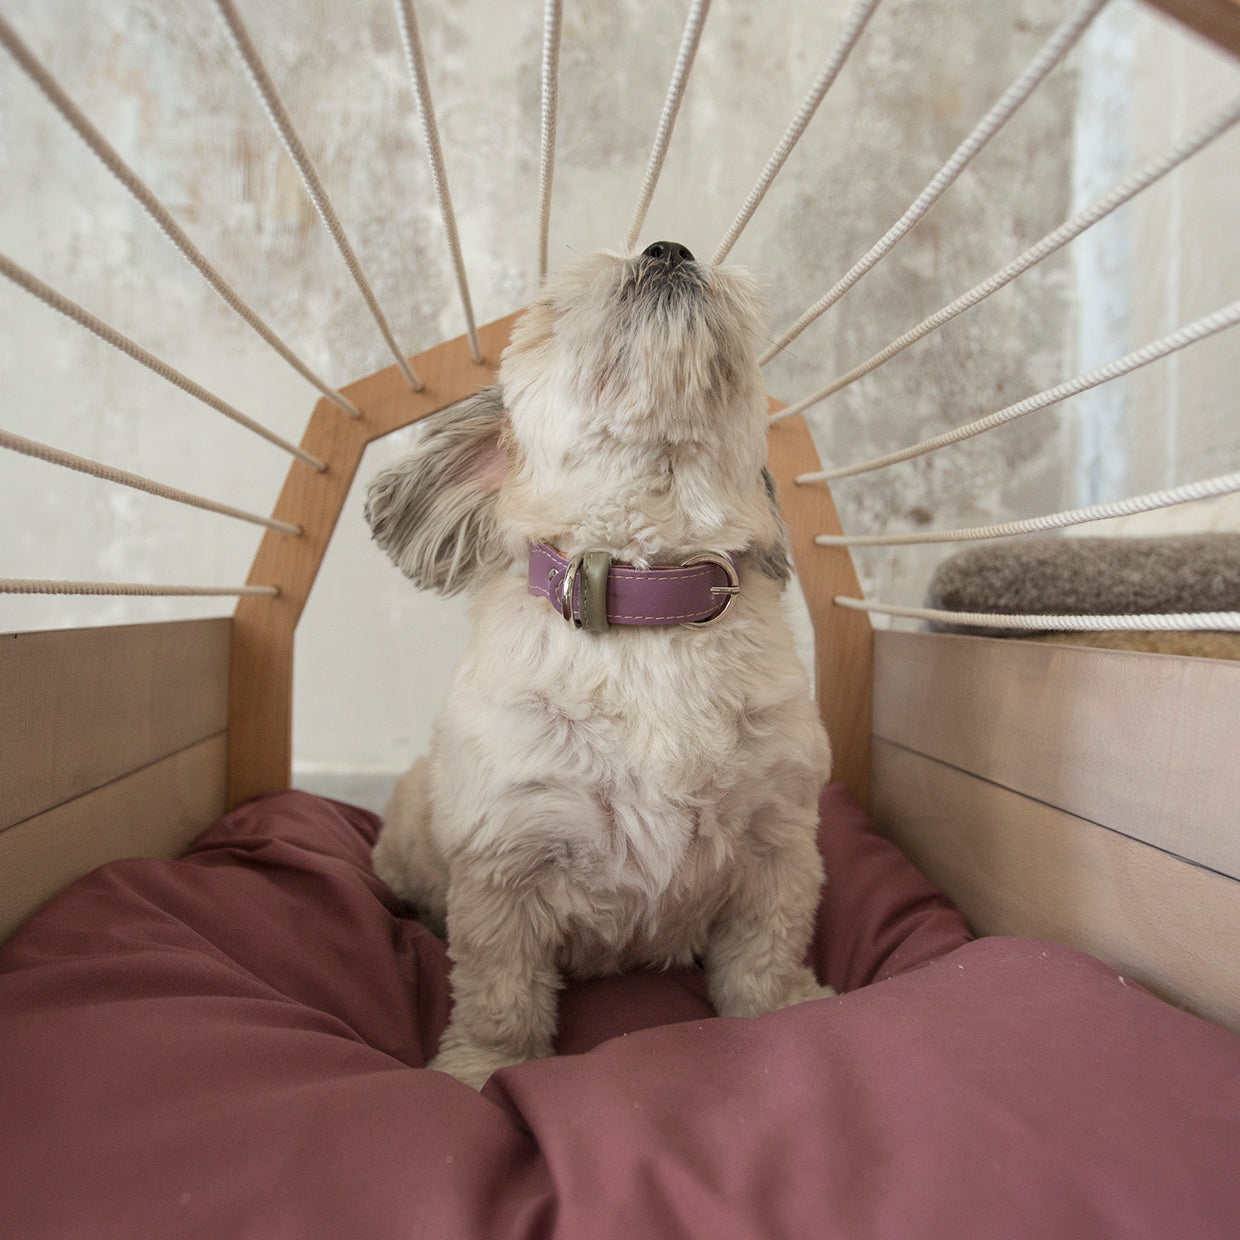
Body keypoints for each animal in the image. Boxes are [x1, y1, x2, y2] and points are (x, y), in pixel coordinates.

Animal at [365, 241, 833, 1089]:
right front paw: (485, 1068)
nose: (669, 248)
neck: (649, 608)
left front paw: (785, 1013)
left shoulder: (777, 845)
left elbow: (766, 956)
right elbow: (500, 991)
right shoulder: (504, 865)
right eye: (558, 308)